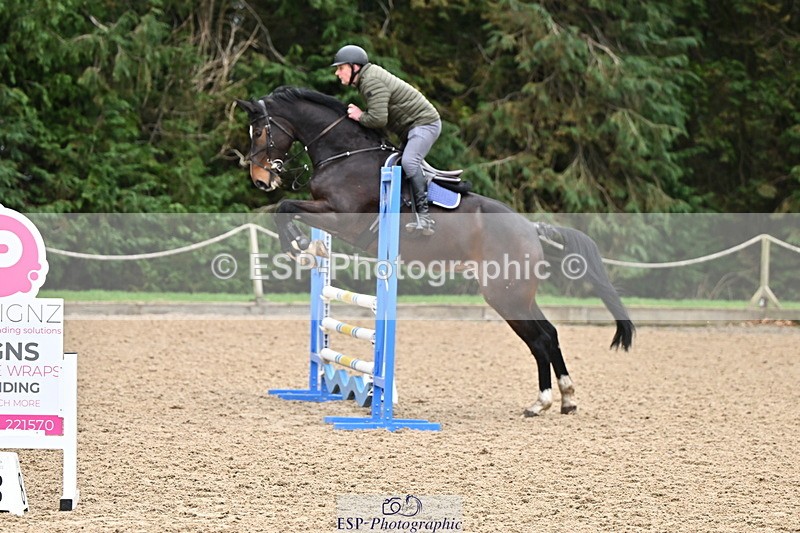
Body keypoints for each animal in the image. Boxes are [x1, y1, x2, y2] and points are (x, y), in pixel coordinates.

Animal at [235, 86, 634, 417]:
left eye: (261, 132)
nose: (259, 179)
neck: (344, 155)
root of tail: (531, 229)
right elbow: (284, 207)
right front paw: (309, 247)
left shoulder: (340, 217)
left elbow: (283, 207)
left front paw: (303, 248)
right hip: (516, 294)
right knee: (548, 334)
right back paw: (563, 399)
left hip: (505, 295)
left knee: (539, 337)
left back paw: (544, 401)